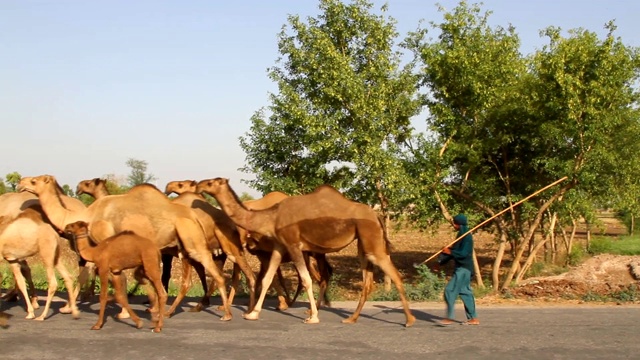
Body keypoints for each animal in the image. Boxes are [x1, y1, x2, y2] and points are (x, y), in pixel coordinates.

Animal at [17, 174, 232, 320]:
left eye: (34, 181)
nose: (20, 182)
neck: (88, 214)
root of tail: (194, 216)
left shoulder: (106, 241)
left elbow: (115, 278)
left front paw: (123, 312)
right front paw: (69, 308)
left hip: (194, 241)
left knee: (216, 273)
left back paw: (226, 313)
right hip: (183, 247)